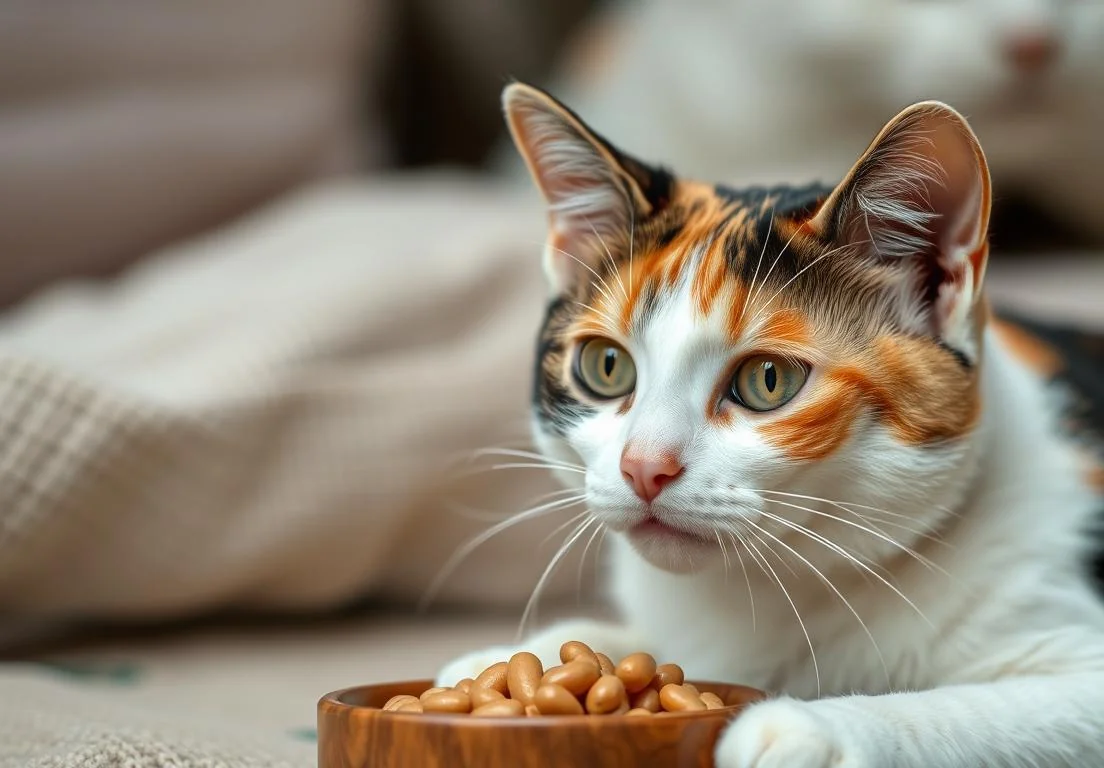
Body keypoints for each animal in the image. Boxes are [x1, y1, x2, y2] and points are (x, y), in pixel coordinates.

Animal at [432, 81, 1104, 763]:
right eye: (606, 366)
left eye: (768, 380)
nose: (643, 467)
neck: (780, 593)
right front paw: (510, 661)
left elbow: (975, 711)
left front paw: (804, 727)